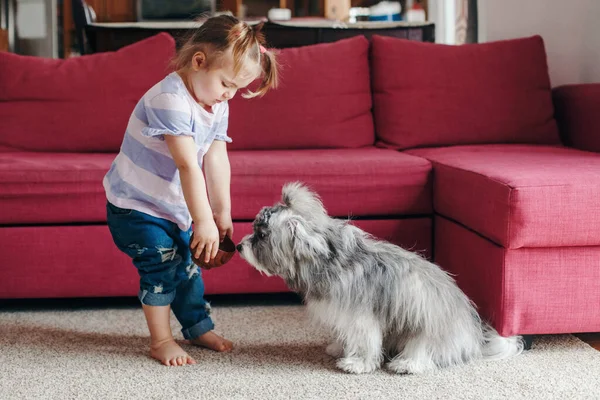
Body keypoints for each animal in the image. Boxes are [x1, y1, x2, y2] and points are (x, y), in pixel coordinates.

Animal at [237, 183, 524, 374]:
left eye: (262, 235)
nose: (239, 246)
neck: (328, 258)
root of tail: (473, 338)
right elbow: (346, 335)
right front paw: (339, 348)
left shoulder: (361, 317)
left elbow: (365, 342)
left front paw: (356, 363)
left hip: (425, 325)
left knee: (426, 351)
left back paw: (407, 363)